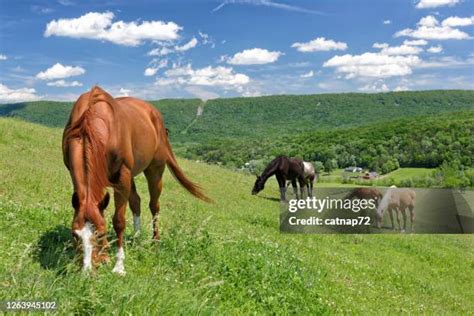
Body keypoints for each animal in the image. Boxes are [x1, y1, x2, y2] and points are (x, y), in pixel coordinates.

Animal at [62, 86, 210, 274]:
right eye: (75, 234)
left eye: (101, 233)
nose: (88, 271)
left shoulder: (122, 177)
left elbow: (118, 221)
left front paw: (118, 266)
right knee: (136, 202)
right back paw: (136, 237)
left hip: (154, 171)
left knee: (154, 206)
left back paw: (155, 241)